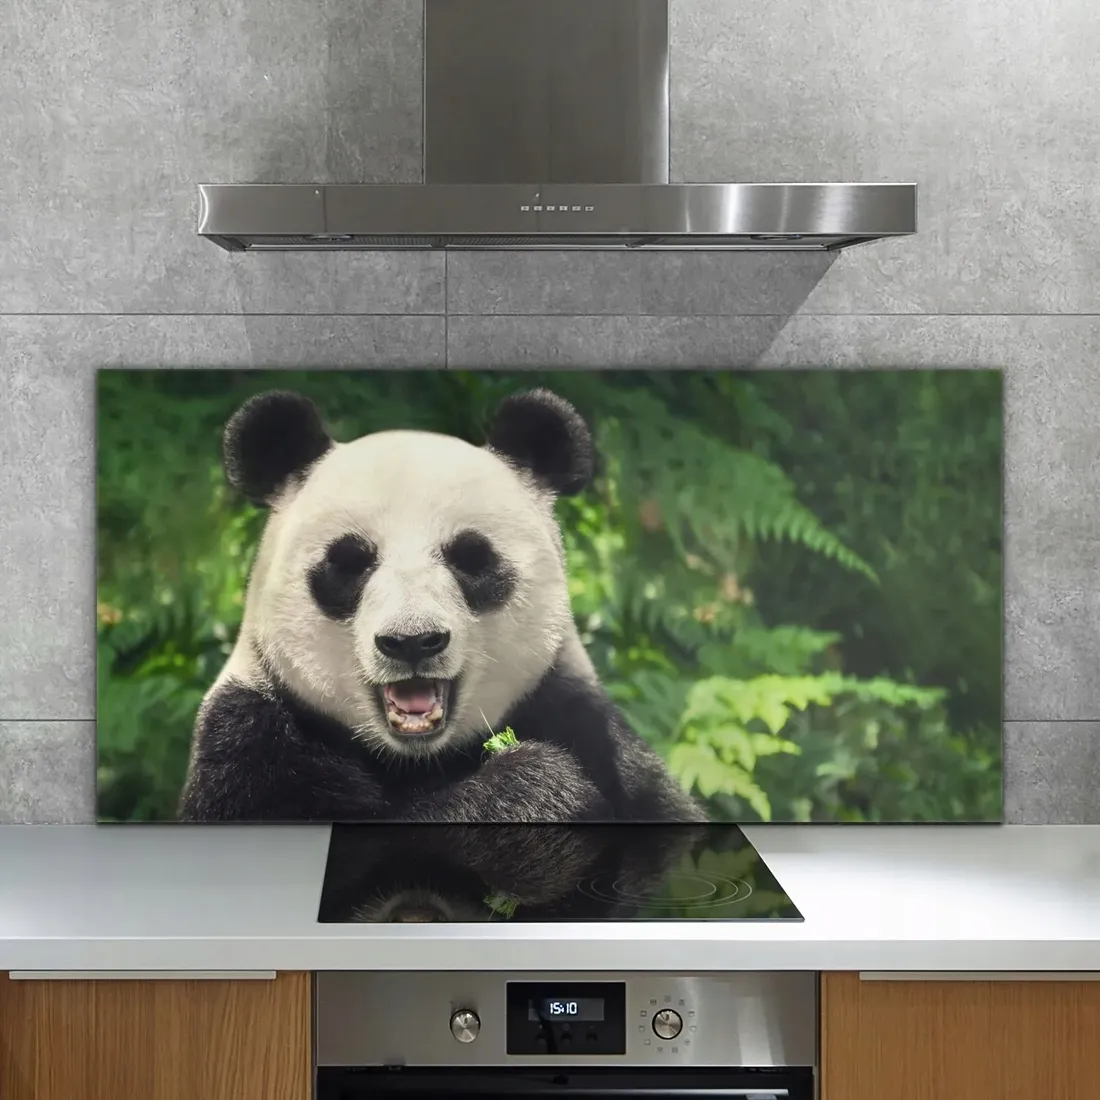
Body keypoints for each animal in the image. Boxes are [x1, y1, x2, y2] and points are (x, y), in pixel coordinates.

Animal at [178, 386, 705, 825]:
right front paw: (535, 792)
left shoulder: (579, 718)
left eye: (470, 558)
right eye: (350, 564)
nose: (412, 641)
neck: (417, 759)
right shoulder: (255, 739)